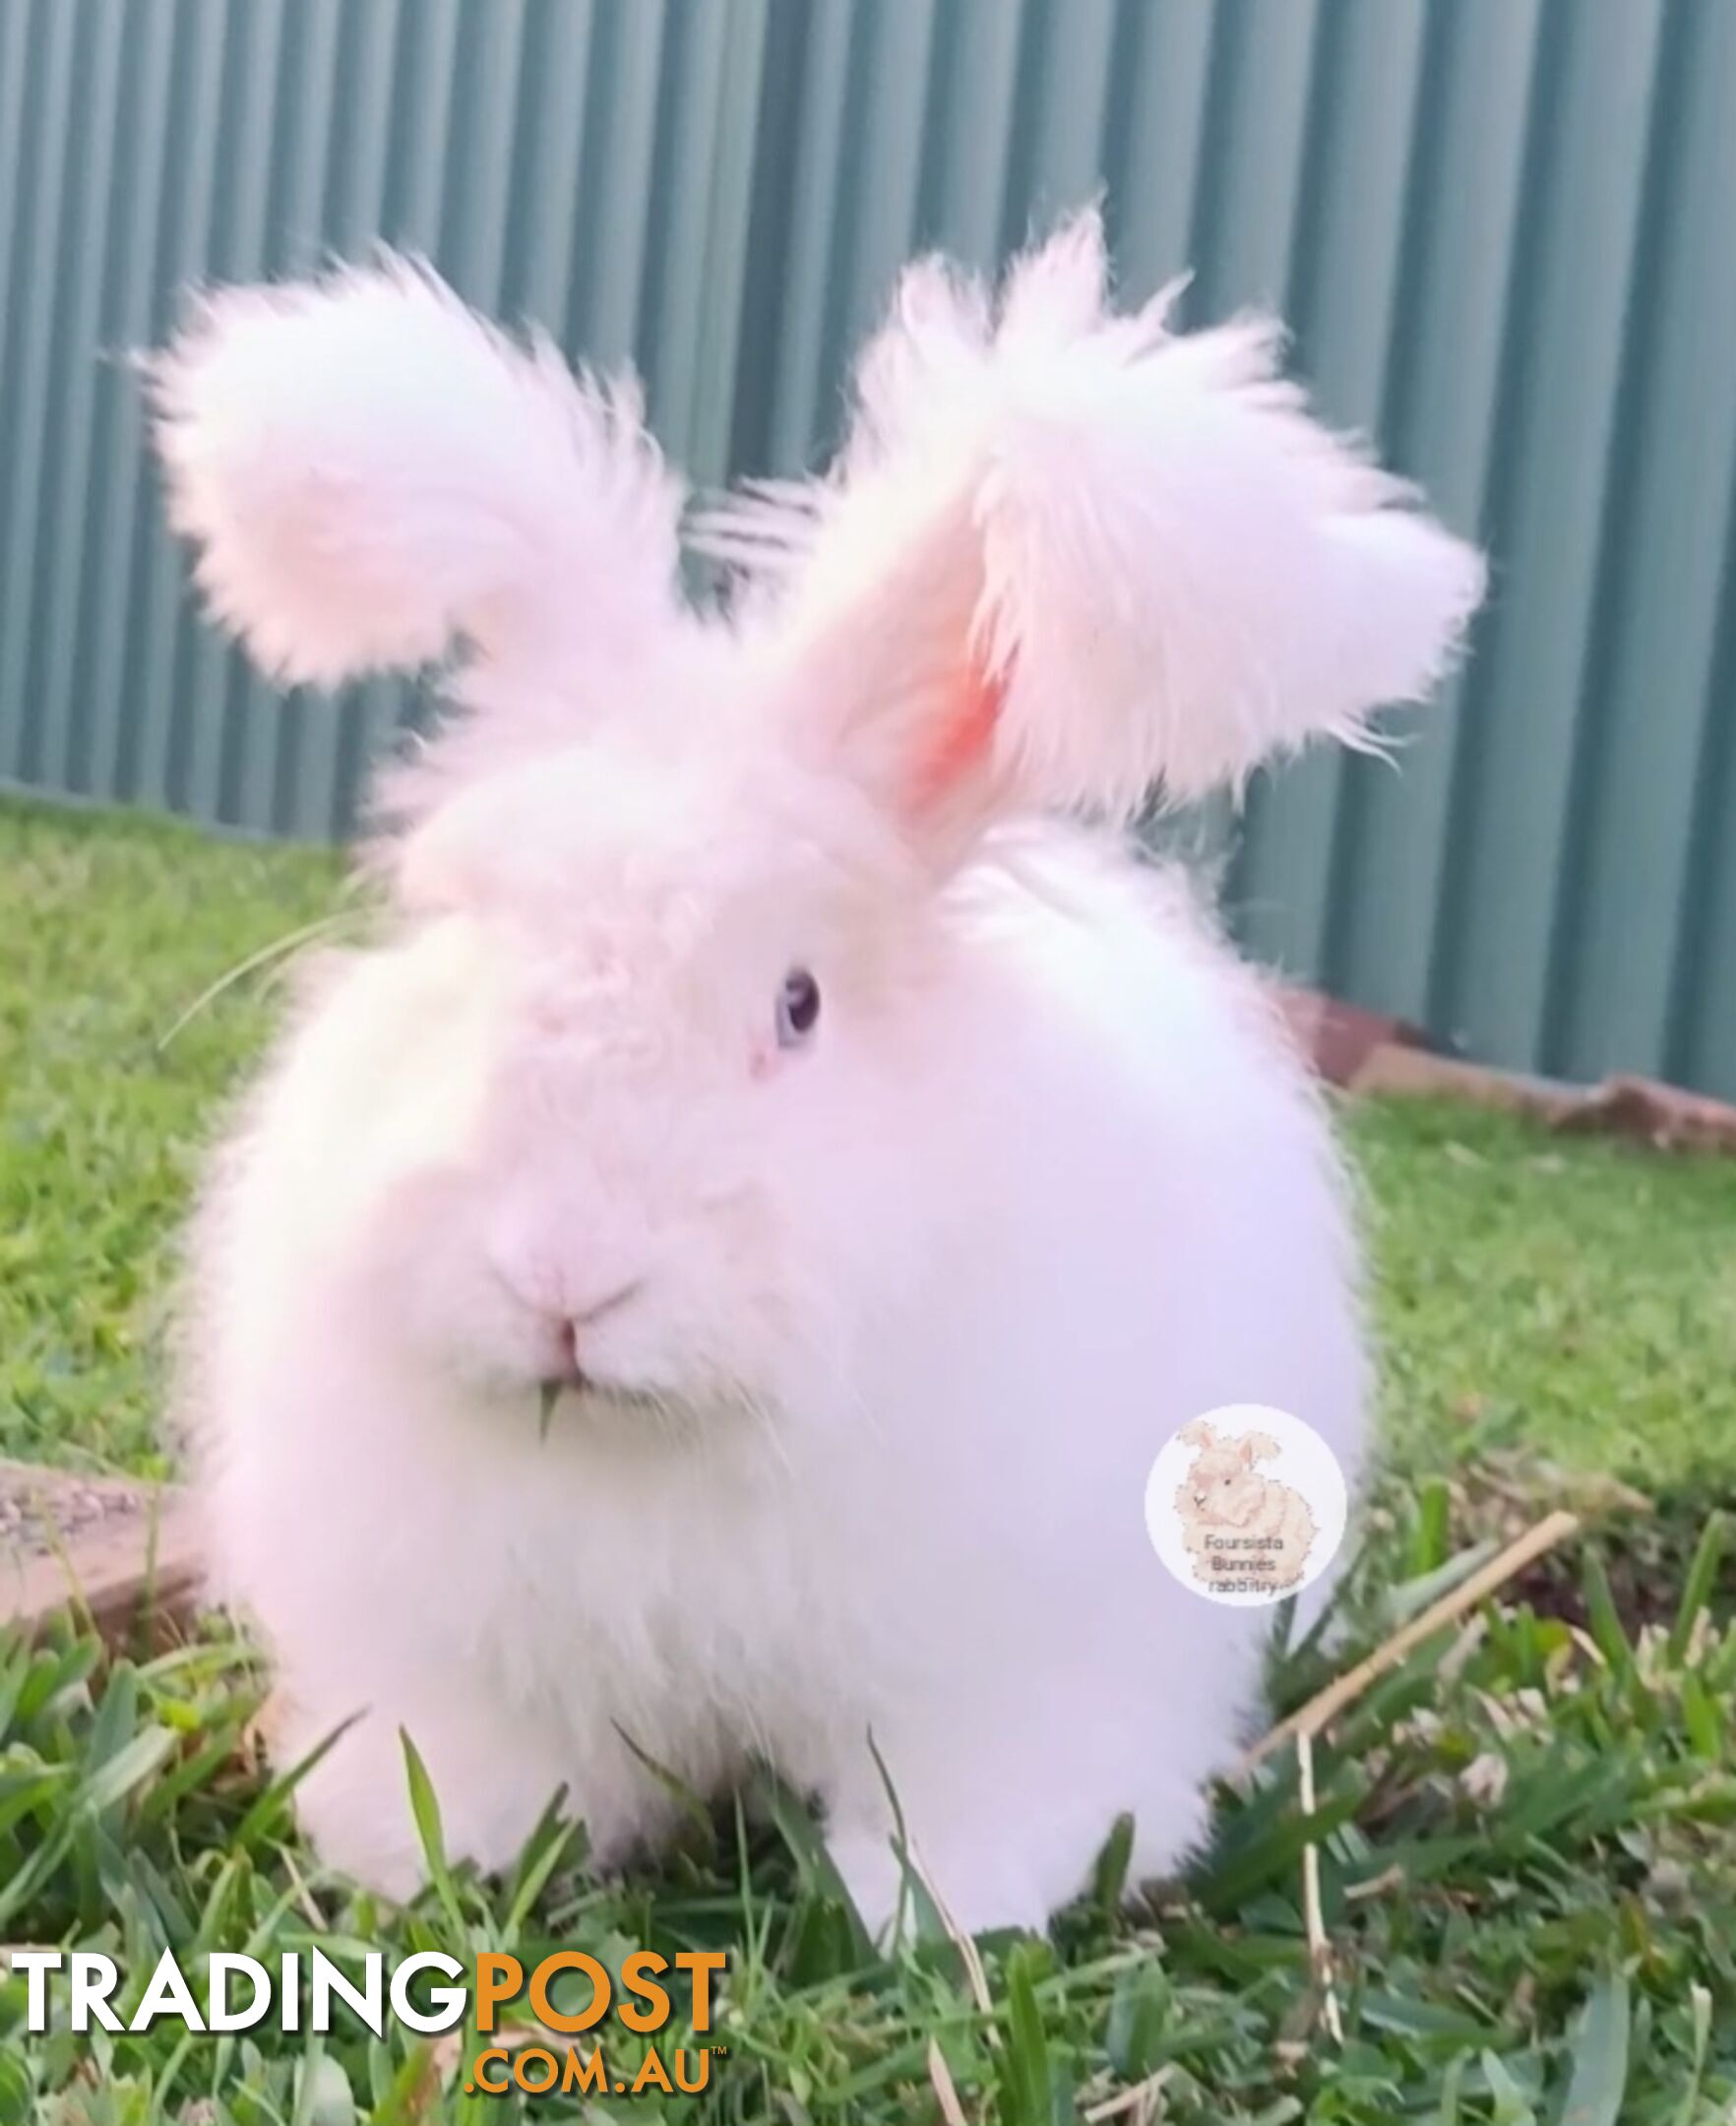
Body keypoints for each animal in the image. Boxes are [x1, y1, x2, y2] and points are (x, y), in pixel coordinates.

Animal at [152, 211, 1478, 1930]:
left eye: (799, 1003)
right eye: (472, 941)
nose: (563, 1280)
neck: (652, 1446)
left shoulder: (1009, 1668)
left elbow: (973, 1803)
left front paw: (940, 1911)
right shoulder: (463, 1654)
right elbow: (485, 1769)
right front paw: (426, 1853)